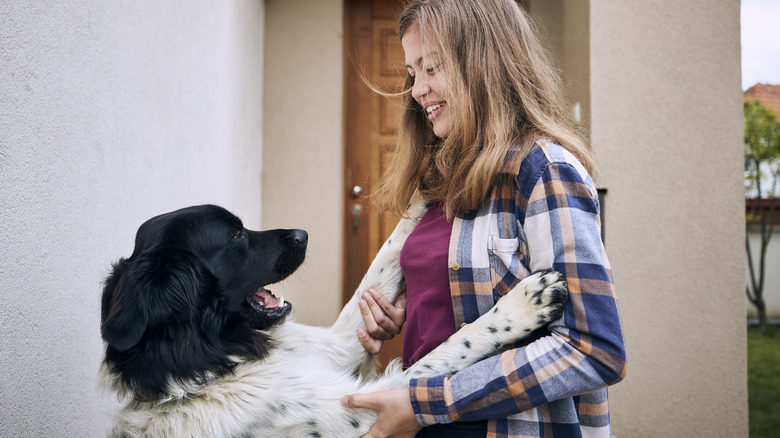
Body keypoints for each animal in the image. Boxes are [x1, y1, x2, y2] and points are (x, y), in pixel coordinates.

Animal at [102, 198, 568, 438]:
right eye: (236, 235)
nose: (303, 234)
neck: (210, 358)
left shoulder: (334, 346)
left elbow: (383, 261)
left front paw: (427, 179)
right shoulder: (362, 409)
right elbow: (450, 349)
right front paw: (523, 305)